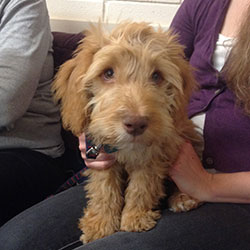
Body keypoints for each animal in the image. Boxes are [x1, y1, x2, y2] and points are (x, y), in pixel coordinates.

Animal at [53, 22, 203, 243]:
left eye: (156, 76)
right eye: (108, 73)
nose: (136, 124)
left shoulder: (153, 155)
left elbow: (142, 186)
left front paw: (135, 218)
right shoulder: (100, 154)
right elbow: (104, 189)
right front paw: (101, 224)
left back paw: (183, 197)